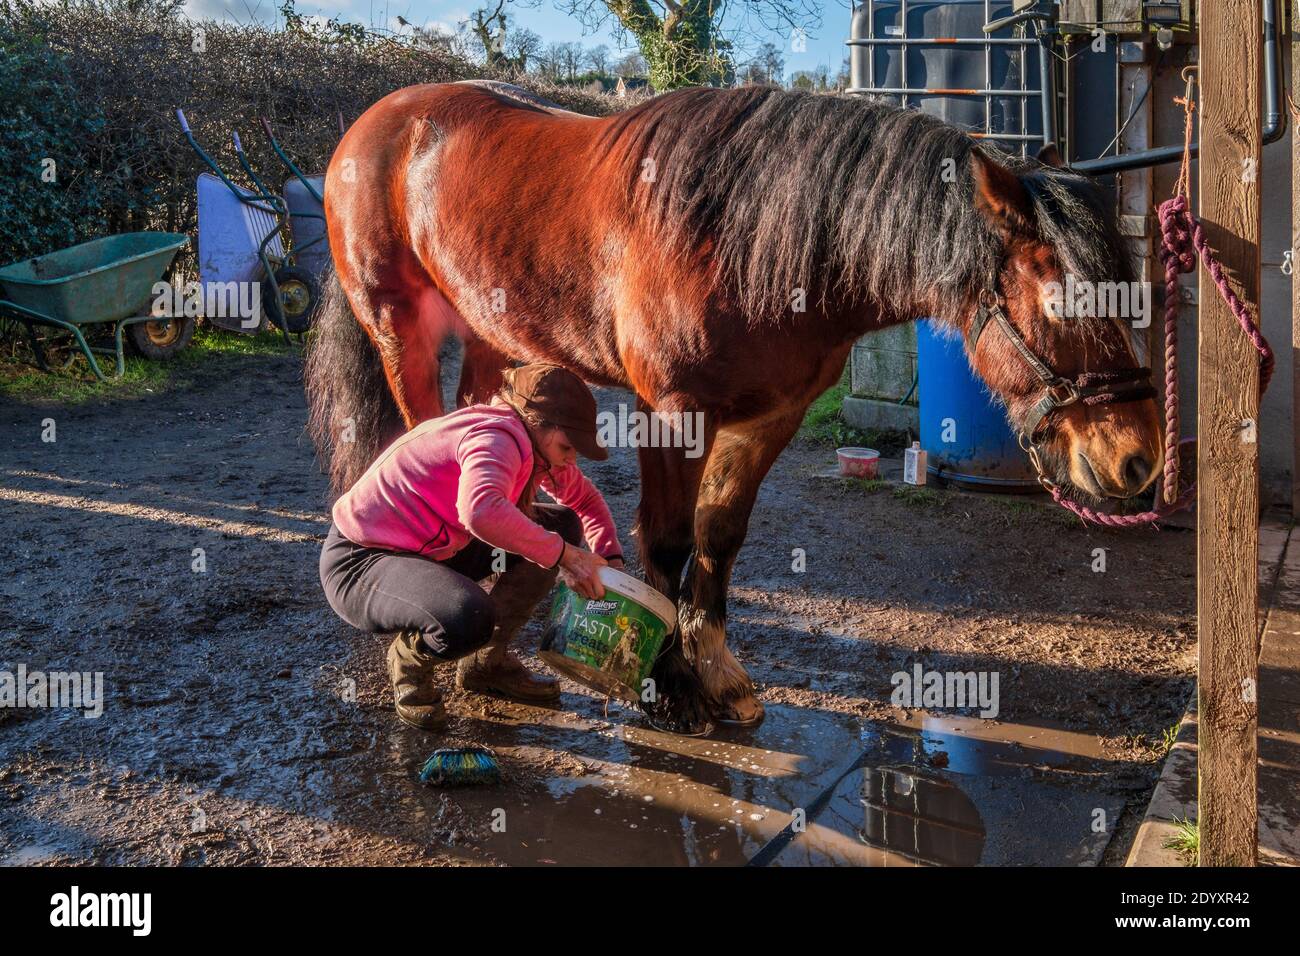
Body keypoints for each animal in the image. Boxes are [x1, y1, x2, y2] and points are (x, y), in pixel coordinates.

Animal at [301, 82, 1159, 738]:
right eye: (1064, 300)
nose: (1137, 460)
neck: (749, 237)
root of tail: (378, 121)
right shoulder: (670, 409)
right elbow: (668, 539)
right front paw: (670, 688)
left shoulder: (769, 417)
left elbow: (719, 537)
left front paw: (716, 673)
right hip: (400, 329)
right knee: (421, 433)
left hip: (489, 328)